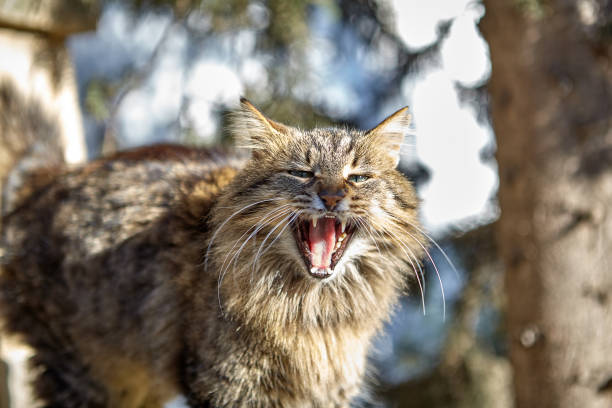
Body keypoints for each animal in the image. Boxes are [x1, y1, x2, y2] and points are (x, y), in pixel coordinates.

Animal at [0, 94, 426, 406]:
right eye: (302, 173)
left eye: (358, 177)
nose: (333, 196)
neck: (312, 312)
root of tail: (49, 177)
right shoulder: (227, 386)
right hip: (85, 376)